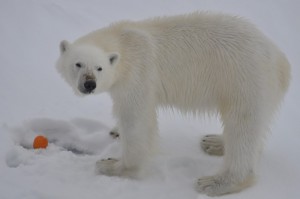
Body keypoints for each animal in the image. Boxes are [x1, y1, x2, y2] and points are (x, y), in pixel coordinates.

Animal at [55, 12, 290, 196]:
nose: (89, 84)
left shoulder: (138, 72)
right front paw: (115, 131)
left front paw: (113, 166)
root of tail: (281, 61)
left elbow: (137, 120)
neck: (124, 39)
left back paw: (215, 182)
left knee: (243, 125)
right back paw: (215, 142)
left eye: (99, 68)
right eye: (78, 64)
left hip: (244, 78)